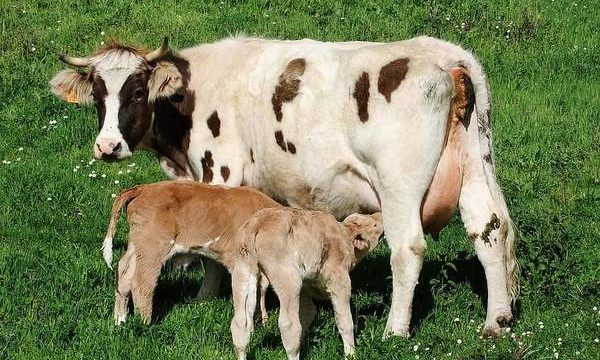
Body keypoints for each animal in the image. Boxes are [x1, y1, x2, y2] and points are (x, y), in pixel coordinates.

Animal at [102, 180, 280, 324]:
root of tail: (142, 188)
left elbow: (260, 287)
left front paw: (262, 320)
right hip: (153, 246)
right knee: (142, 281)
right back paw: (145, 323)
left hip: (138, 243)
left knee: (124, 271)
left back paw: (120, 319)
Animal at [227, 208, 382, 360]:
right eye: (374, 225)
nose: (380, 214)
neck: (345, 236)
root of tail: (257, 223)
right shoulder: (339, 280)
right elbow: (345, 321)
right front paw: (351, 354)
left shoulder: (306, 286)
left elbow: (308, 313)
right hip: (288, 279)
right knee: (288, 326)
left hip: (242, 270)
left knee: (240, 323)